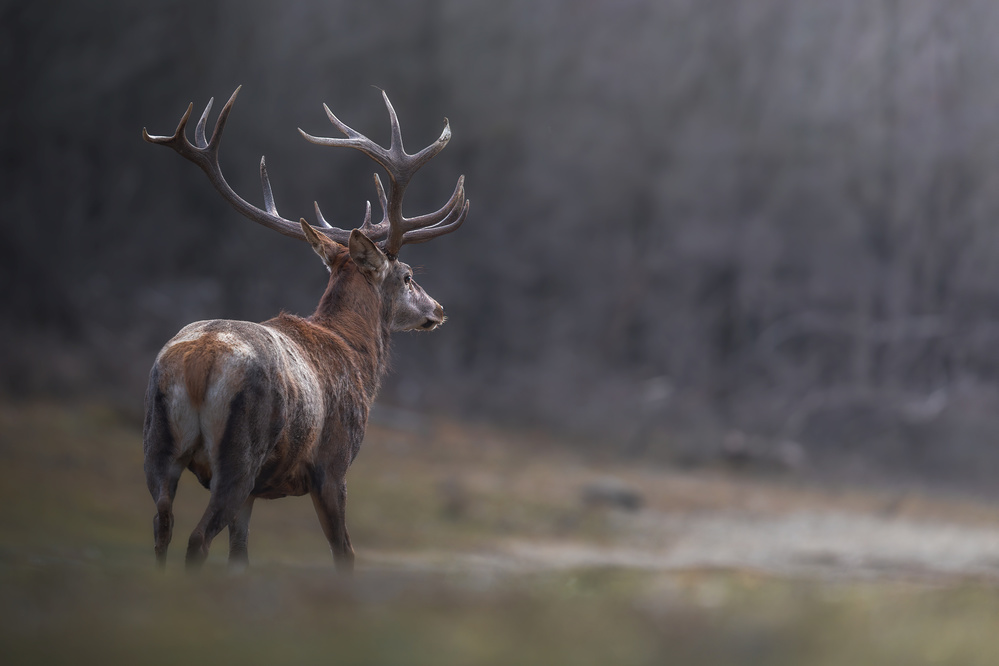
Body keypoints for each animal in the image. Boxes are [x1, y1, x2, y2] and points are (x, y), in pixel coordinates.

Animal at [141, 84, 468, 572]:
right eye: (408, 275)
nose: (439, 309)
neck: (356, 356)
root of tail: (200, 362)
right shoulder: (333, 465)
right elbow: (344, 553)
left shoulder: (258, 492)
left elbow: (241, 555)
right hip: (240, 453)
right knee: (196, 539)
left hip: (157, 442)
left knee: (163, 528)